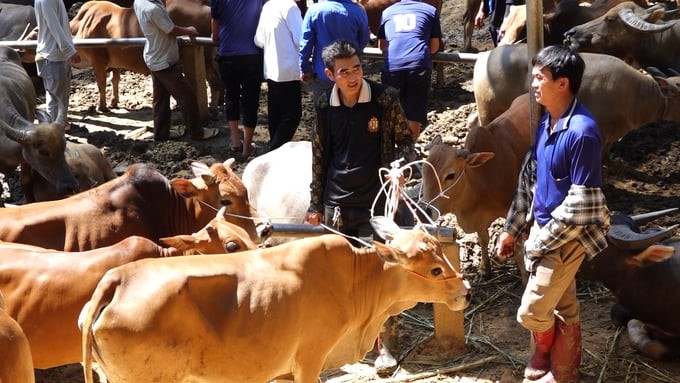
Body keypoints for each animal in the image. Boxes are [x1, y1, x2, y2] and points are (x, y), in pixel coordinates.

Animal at [420, 94, 532, 280]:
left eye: (450, 176)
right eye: (423, 170)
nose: (425, 211)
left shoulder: (513, 211)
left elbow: (516, 249)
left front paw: (524, 278)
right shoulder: (479, 219)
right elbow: (483, 239)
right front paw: (484, 269)